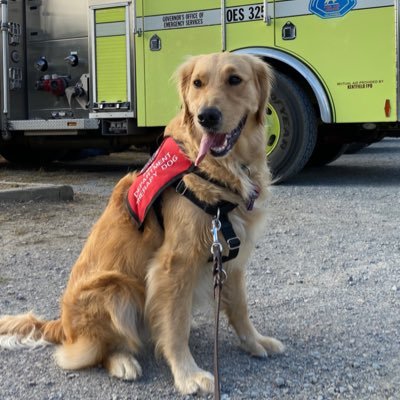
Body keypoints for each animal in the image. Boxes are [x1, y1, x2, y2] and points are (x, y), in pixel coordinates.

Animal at [0, 52, 284, 394]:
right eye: (198, 83)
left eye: (234, 80)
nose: (207, 116)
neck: (219, 169)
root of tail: (62, 326)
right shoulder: (173, 263)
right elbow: (175, 326)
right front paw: (187, 374)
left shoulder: (231, 253)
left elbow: (240, 307)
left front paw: (255, 342)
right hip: (115, 289)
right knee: (99, 350)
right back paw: (123, 361)